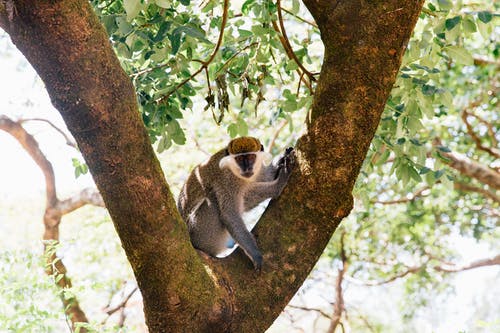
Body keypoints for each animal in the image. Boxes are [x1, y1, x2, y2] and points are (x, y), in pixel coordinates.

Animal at [177, 136, 294, 268]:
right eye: (239, 159)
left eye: (251, 157)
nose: (247, 168)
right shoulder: (227, 180)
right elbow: (230, 214)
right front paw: (279, 184)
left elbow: (258, 184)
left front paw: (281, 160)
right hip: (200, 234)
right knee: (213, 198)